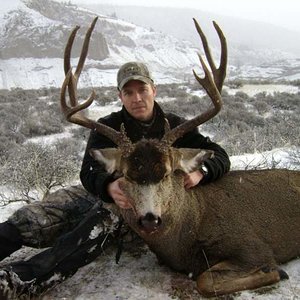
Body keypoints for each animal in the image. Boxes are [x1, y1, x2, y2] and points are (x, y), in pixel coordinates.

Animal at [59, 17, 298, 298]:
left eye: (166, 173)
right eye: (127, 175)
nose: (150, 219)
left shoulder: (252, 245)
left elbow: (205, 281)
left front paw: (276, 272)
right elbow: (205, 279)